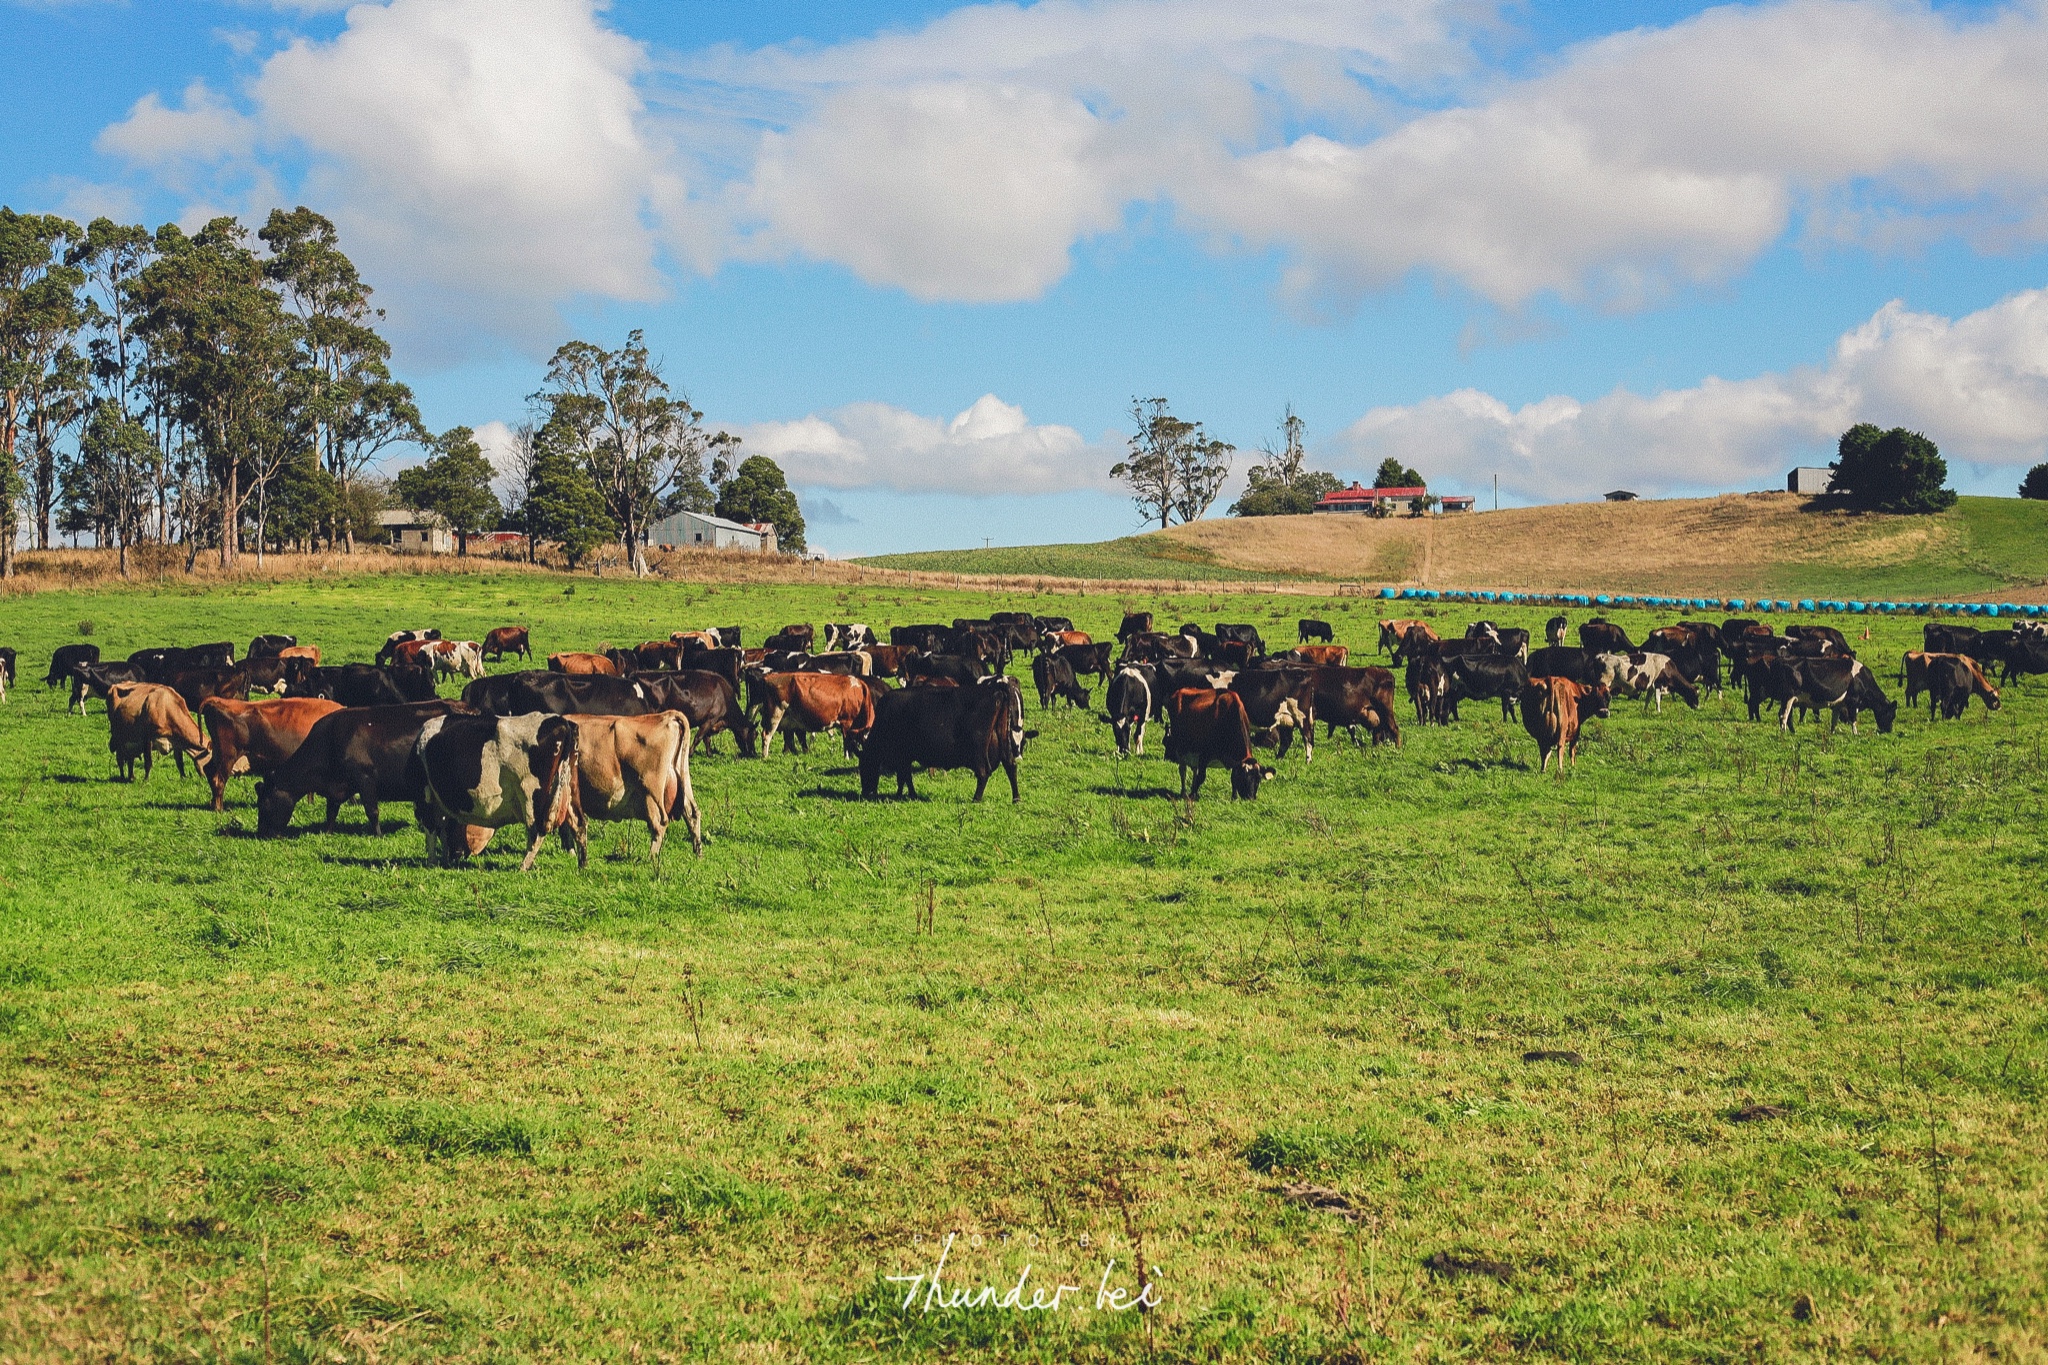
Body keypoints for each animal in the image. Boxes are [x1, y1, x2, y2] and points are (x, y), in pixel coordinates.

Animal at [197, 699, 342, 818]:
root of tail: (217, 701)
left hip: (219, 755)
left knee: (209, 771)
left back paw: (213, 804)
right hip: (227, 757)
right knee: (219, 780)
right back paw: (219, 808)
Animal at [253, 699, 468, 839]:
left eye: (264, 803)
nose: (262, 834)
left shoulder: (365, 778)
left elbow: (372, 810)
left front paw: (378, 835)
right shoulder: (336, 787)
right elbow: (331, 811)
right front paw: (327, 832)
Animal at [411, 712, 581, 871]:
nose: (457, 854)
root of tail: (561, 721)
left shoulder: (424, 797)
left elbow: (431, 830)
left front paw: (432, 862)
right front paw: (444, 860)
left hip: (532, 797)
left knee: (538, 832)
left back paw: (523, 866)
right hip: (568, 789)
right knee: (578, 824)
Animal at [565, 712, 708, 859]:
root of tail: (666, 715)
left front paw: (570, 852)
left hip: (650, 792)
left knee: (660, 823)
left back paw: (651, 857)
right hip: (682, 778)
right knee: (692, 813)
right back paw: (698, 853)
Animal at [860, 675, 1032, 802]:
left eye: (865, 767)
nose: (865, 792)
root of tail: (997, 690)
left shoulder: (902, 756)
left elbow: (904, 777)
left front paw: (905, 794)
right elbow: (904, 777)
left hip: (977, 749)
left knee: (984, 772)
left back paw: (976, 799)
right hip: (1004, 742)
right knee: (1011, 766)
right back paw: (1016, 798)